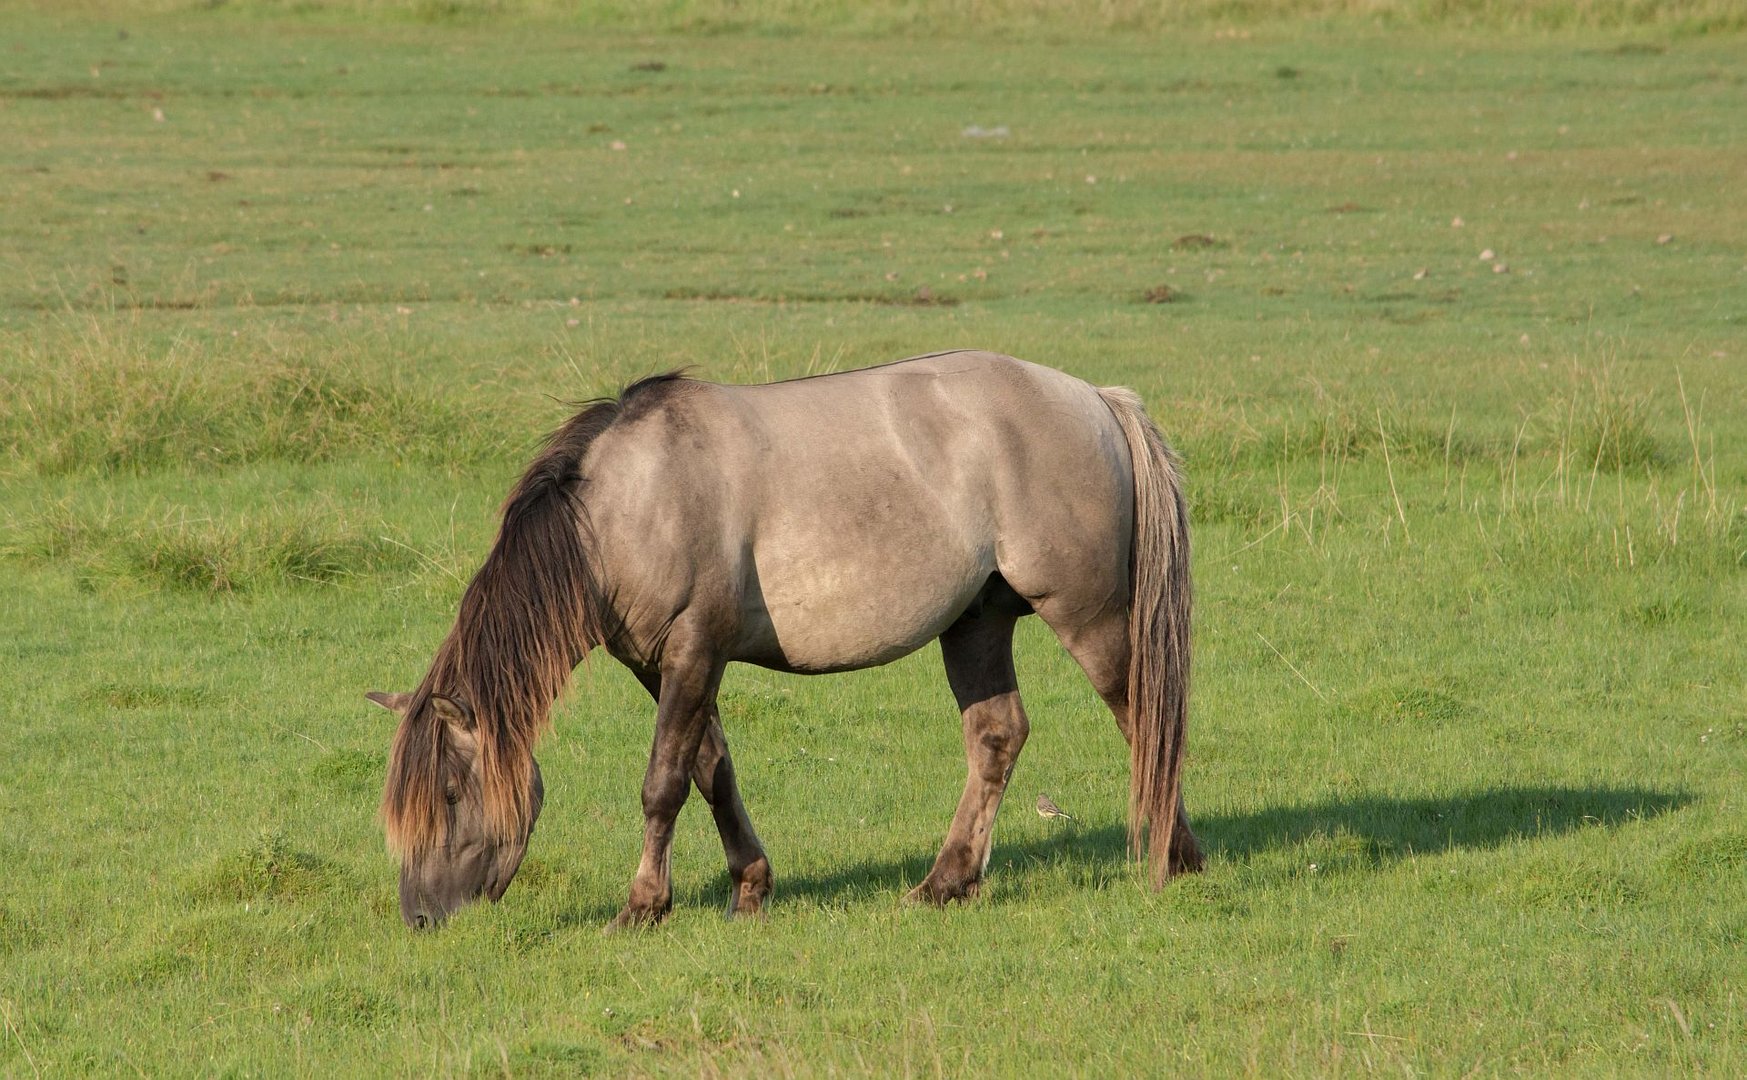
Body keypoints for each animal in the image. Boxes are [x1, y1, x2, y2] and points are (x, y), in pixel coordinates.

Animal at [368, 351, 1201, 922]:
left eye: (450, 793)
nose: (420, 916)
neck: (621, 509)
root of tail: (1096, 398)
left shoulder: (694, 651)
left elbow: (663, 782)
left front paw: (643, 905)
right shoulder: (661, 664)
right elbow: (712, 771)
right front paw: (749, 889)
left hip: (1087, 616)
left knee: (1144, 722)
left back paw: (1174, 860)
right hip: (976, 624)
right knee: (997, 736)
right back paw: (945, 883)